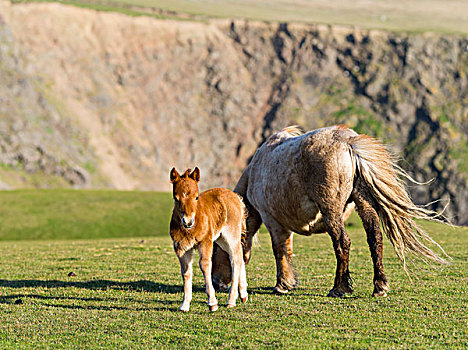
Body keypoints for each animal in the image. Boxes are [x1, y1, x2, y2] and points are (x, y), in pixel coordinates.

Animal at [212, 124, 450, 296]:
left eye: (215, 248)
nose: (216, 283)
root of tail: (348, 142)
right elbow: (287, 250)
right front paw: (289, 282)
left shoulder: (272, 220)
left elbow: (279, 251)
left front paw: (282, 285)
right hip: (363, 203)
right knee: (375, 238)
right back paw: (379, 286)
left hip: (331, 210)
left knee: (342, 242)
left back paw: (339, 288)